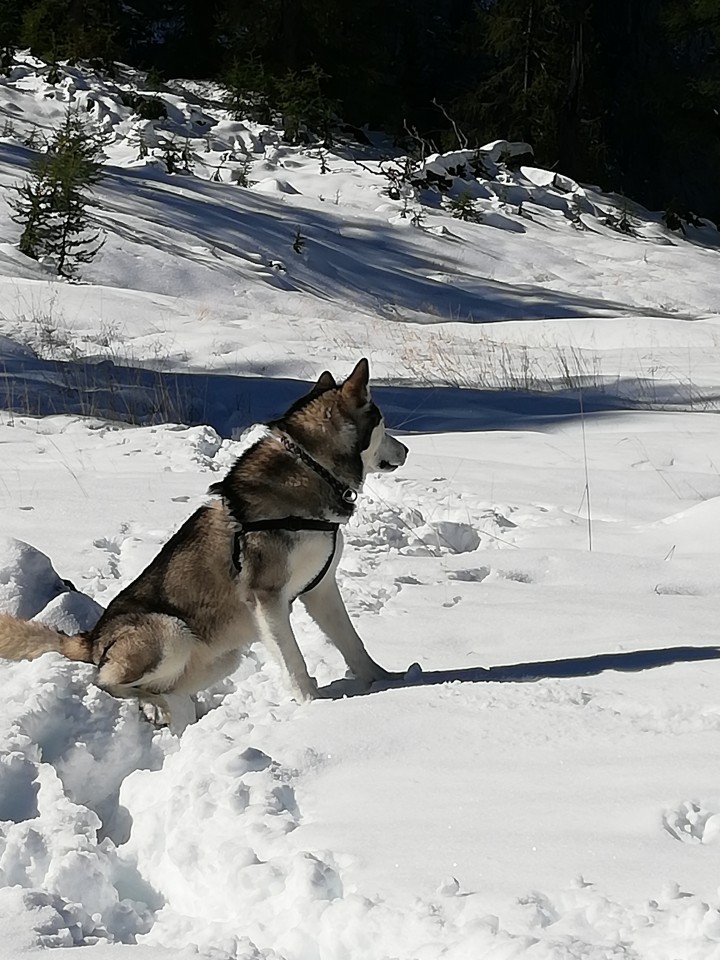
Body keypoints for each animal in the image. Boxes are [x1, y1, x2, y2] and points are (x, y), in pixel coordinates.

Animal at [0, 360, 408, 720]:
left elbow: (353, 644)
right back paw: (152, 706)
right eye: (383, 424)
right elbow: (293, 660)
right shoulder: (266, 597)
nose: (406, 450)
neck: (313, 469)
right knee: (104, 682)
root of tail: (91, 637)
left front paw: (386, 684)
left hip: (222, 656)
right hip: (171, 632)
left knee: (166, 689)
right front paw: (313, 706)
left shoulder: (320, 589)